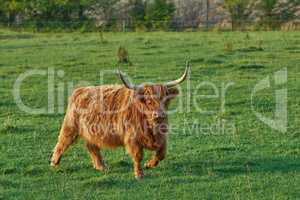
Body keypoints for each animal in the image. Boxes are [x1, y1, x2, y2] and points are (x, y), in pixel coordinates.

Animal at [49, 61, 190, 179]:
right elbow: (138, 156)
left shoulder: (162, 137)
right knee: (62, 142)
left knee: (91, 146)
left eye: (165, 100)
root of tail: (80, 90)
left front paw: (149, 164)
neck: (150, 126)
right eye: (149, 101)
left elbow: (161, 154)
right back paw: (54, 162)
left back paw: (101, 166)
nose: (159, 115)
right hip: (70, 126)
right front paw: (139, 174)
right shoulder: (132, 139)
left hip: (91, 131)